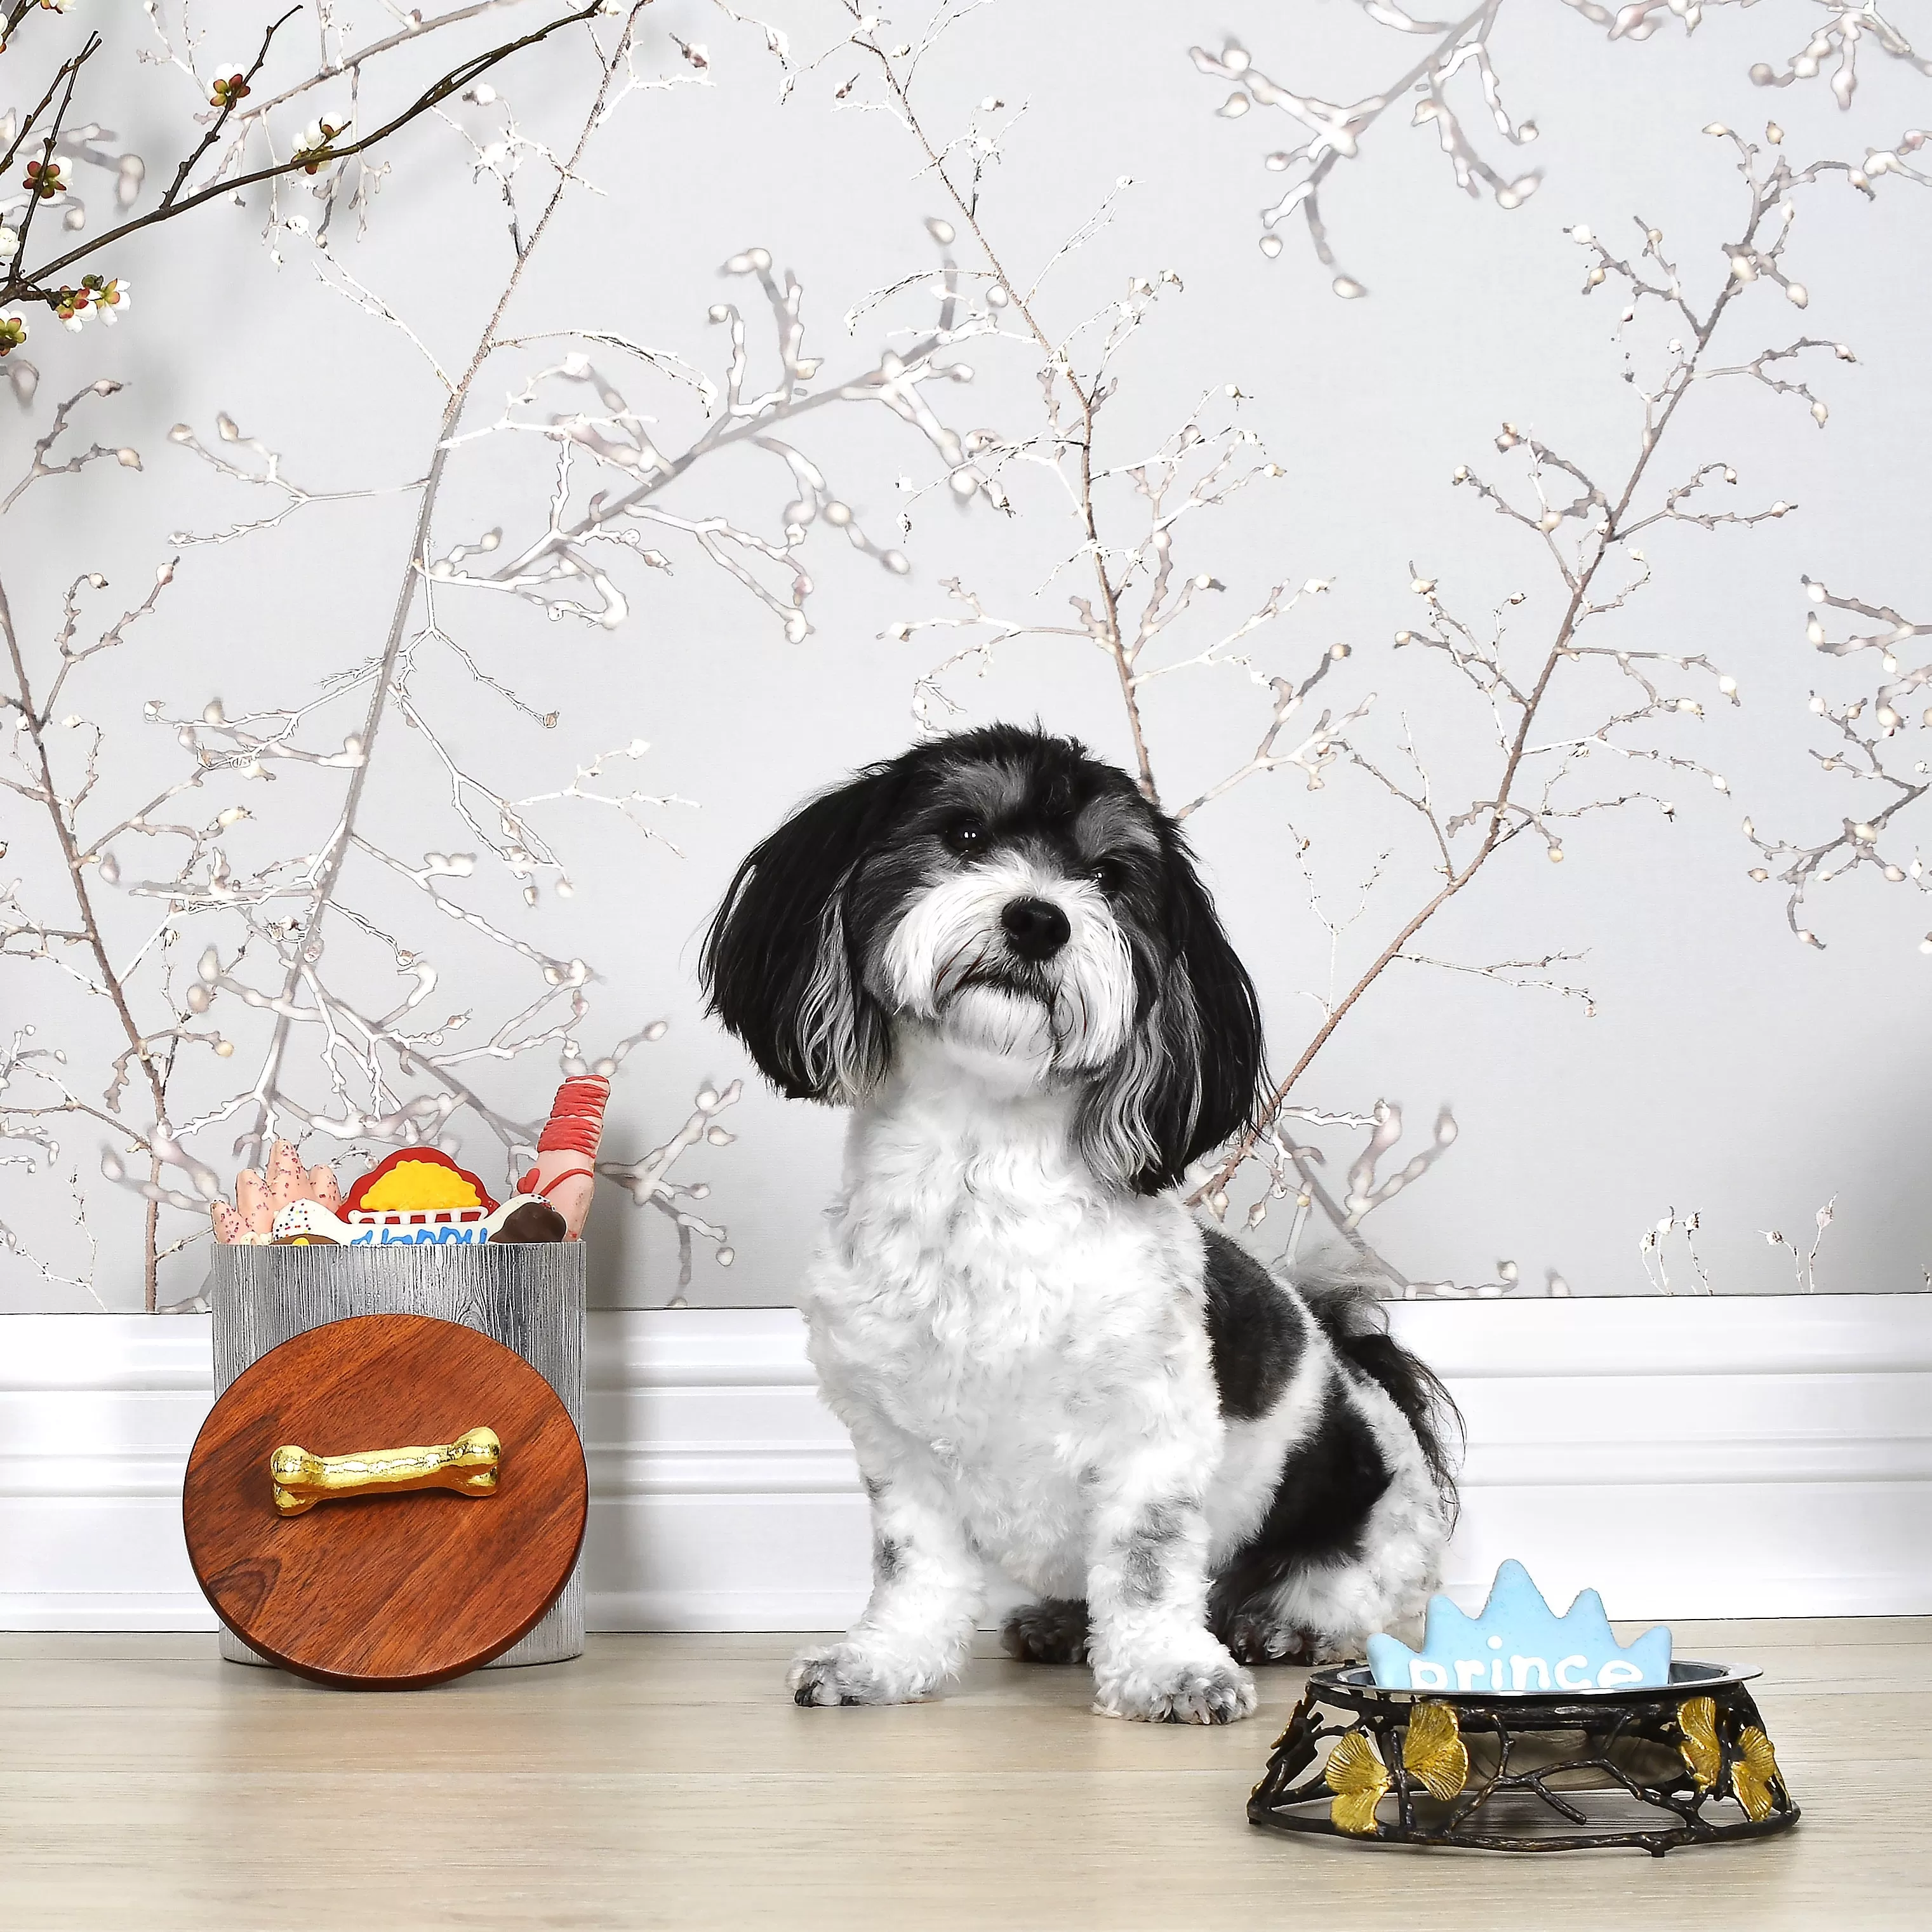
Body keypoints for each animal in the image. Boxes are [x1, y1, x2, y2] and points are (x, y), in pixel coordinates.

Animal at [703, 730, 1453, 1731]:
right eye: (963, 831)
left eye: (1108, 874)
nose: (1038, 920)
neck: (982, 1176)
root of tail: (1352, 1352)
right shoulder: (898, 1451)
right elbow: (913, 1569)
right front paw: (883, 1660)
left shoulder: (1153, 1435)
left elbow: (1145, 1567)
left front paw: (1172, 1674)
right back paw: (1061, 1623)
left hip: (1362, 1529)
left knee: (1338, 1602)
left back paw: (1278, 1627)